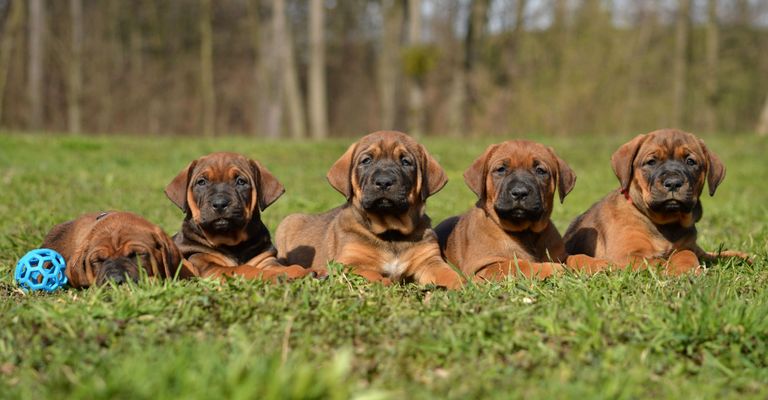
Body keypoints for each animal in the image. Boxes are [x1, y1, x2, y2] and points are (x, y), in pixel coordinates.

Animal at [438, 141, 576, 282]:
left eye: (540, 171)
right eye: (501, 169)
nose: (520, 192)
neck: (525, 232)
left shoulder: (561, 256)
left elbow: (577, 257)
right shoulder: (483, 269)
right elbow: (518, 264)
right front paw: (554, 269)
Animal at [564, 130, 752, 274]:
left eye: (690, 161)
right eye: (651, 162)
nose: (673, 183)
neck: (667, 224)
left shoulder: (692, 247)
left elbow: (696, 254)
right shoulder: (625, 255)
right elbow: (660, 261)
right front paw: (679, 269)